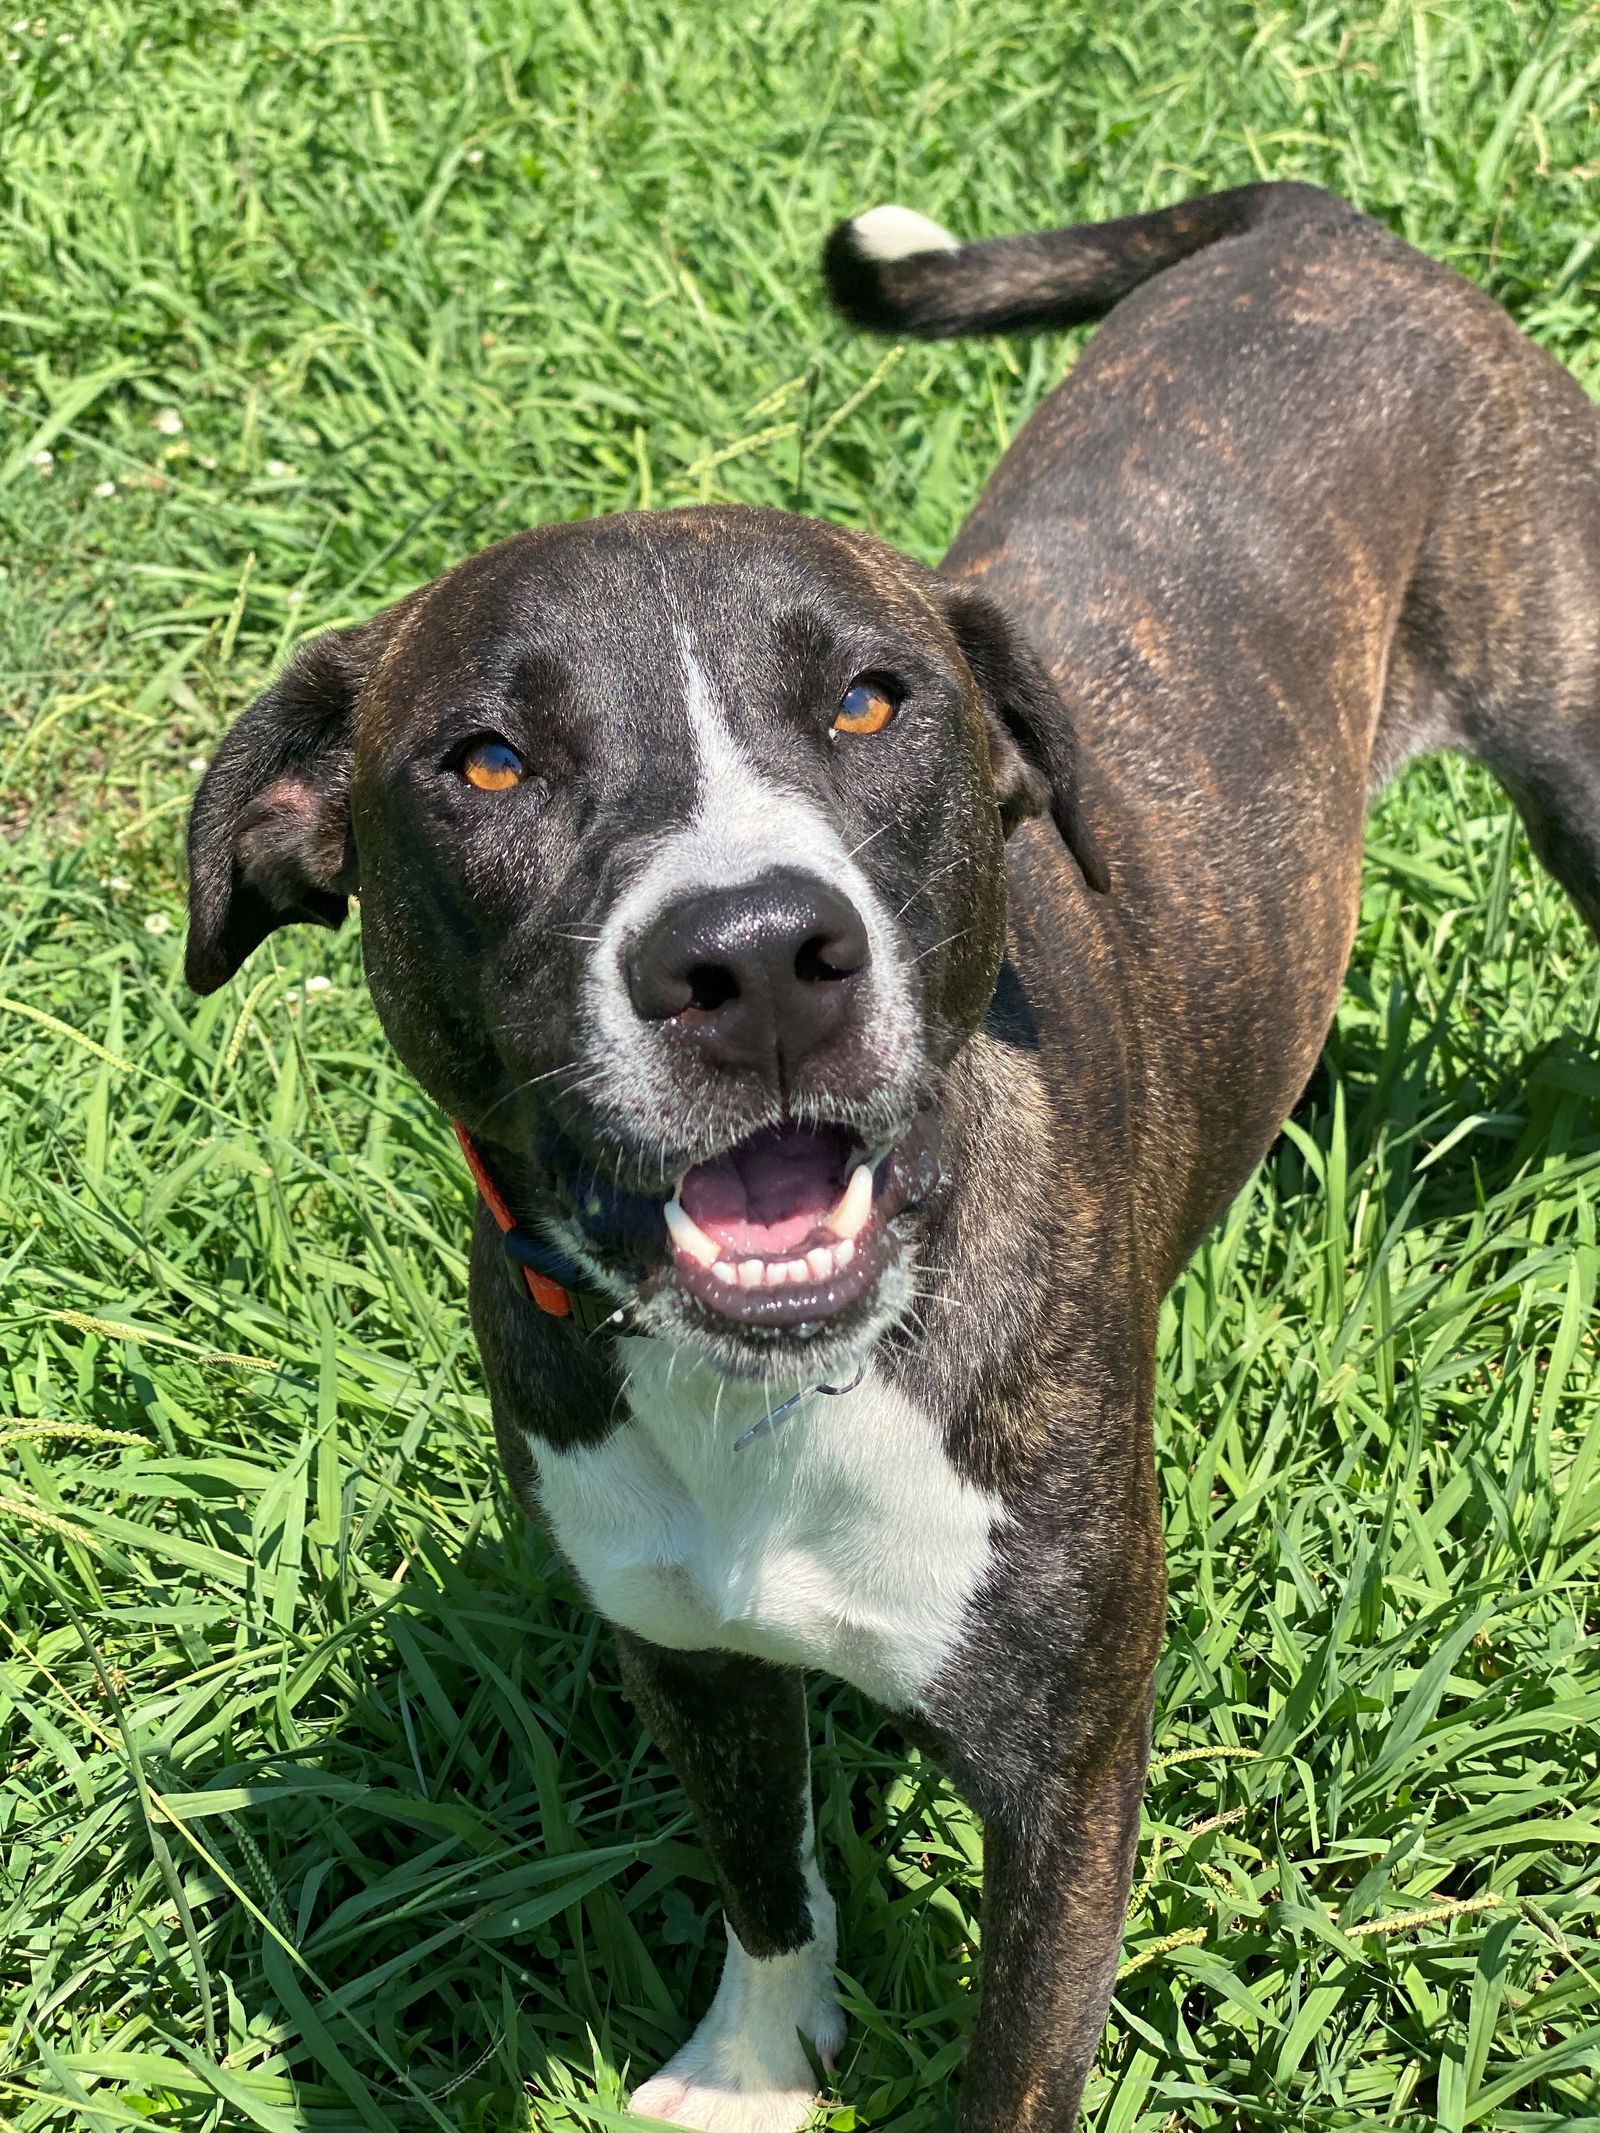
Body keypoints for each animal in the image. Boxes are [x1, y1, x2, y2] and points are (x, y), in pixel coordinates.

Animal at [184, 183, 1600, 2133]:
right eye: (485, 759)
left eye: (870, 702)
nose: (759, 956)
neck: (782, 1388)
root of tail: (1322, 220)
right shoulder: (682, 1647)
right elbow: (758, 1869)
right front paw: (756, 2063)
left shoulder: (1065, 1770)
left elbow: (1013, 2059)